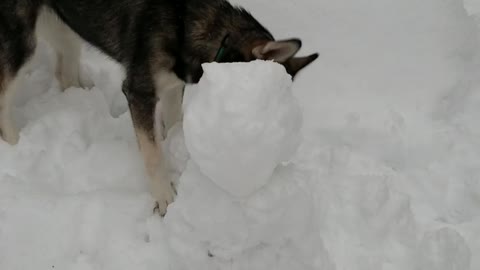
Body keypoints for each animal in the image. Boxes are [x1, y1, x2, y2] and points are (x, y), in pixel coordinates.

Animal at [0, 0, 318, 215]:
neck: (186, 25)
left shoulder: (173, 87)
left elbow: (174, 124)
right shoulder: (139, 90)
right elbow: (153, 156)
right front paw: (165, 196)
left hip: (64, 27)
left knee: (65, 71)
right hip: (22, 39)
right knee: (5, 95)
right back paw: (15, 144)